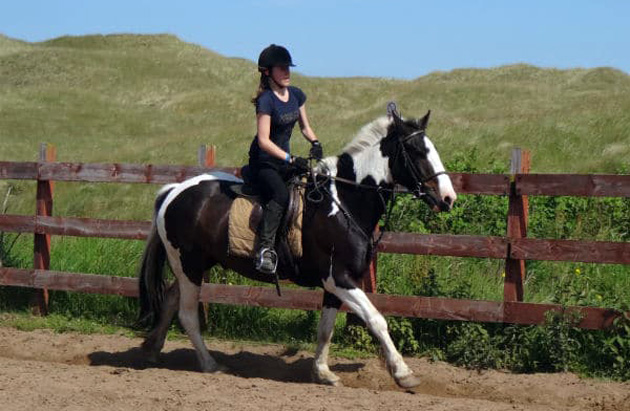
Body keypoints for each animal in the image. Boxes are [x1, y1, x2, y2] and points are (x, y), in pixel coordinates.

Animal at [137, 106, 460, 390]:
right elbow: (376, 320)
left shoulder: (334, 284)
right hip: (189, 265)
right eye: (417, 151)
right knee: (188, 314)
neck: (344, 201)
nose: (448, 198)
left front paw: (323, 373)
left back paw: (152, 350)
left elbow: (325, 329)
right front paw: (404, 374)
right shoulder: (340, 279)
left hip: (194, 265)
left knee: (170, 300)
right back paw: (209, 364)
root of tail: (174, 191)